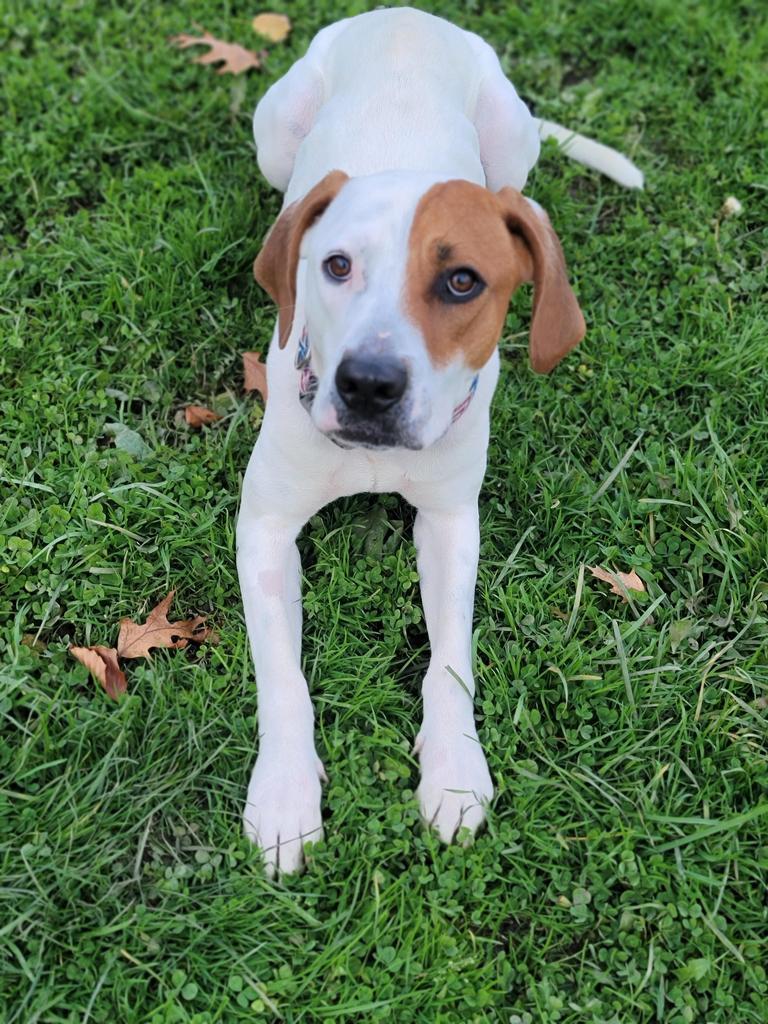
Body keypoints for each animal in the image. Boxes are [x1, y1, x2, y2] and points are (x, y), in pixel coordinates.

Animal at [239, 4, 643, 876]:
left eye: (463, 282)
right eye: (336, 266)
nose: (368, 385)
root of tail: (406, 15)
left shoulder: (452, 523)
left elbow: (451, 661)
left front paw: (456, 769)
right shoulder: (264, 530)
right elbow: (283, 680)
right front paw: (284, 795)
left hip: (511, 135)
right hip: (275, 131)